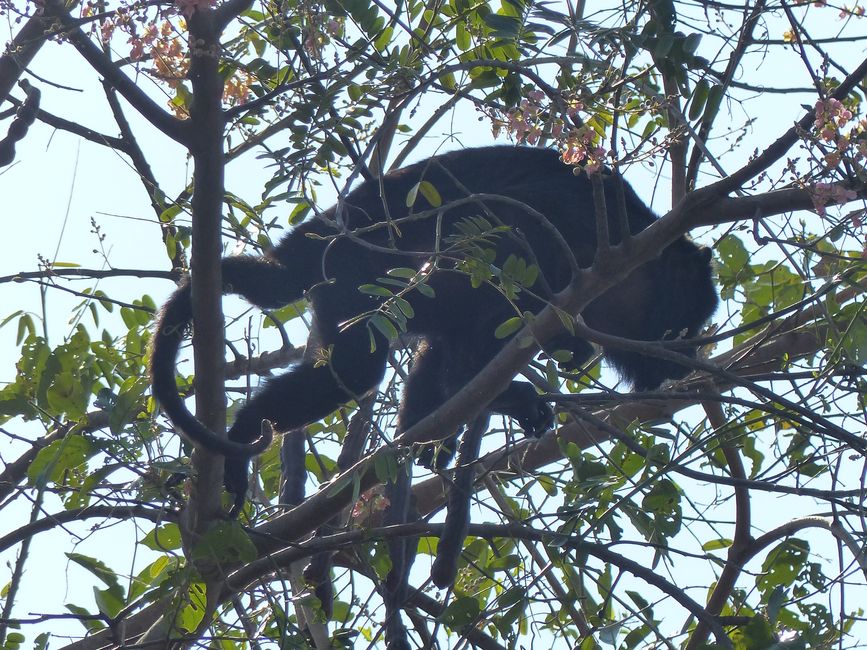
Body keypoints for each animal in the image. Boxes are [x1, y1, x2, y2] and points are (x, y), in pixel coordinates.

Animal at [149, 144, 720, 508]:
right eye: (684, 326)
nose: (686, 357)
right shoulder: (566, 228)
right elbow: (501, 248)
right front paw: (509, 396)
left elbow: (447, 346)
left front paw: (431, 433)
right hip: (352, 278)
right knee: (358, 367)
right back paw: (245, 430)